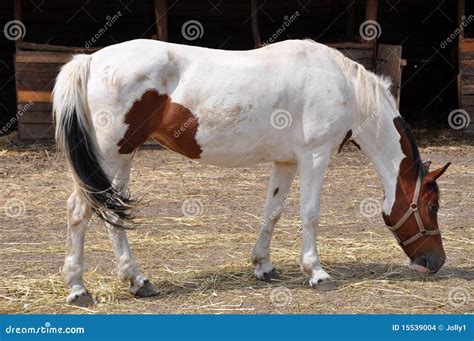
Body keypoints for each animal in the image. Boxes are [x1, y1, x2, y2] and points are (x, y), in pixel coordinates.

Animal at [53, 38, 450, 304]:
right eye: (431, 206)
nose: (435, 262)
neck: (344, 87)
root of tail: (90, 60)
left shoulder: (286, 163)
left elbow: (272, 212)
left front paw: (264, 266)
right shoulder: (315, 156)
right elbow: (310, 215)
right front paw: (316, 272)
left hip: (119, 158)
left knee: (108, 214)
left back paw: (135, 282)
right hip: (111, 155)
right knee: (81, 211)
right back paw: (79, 287)